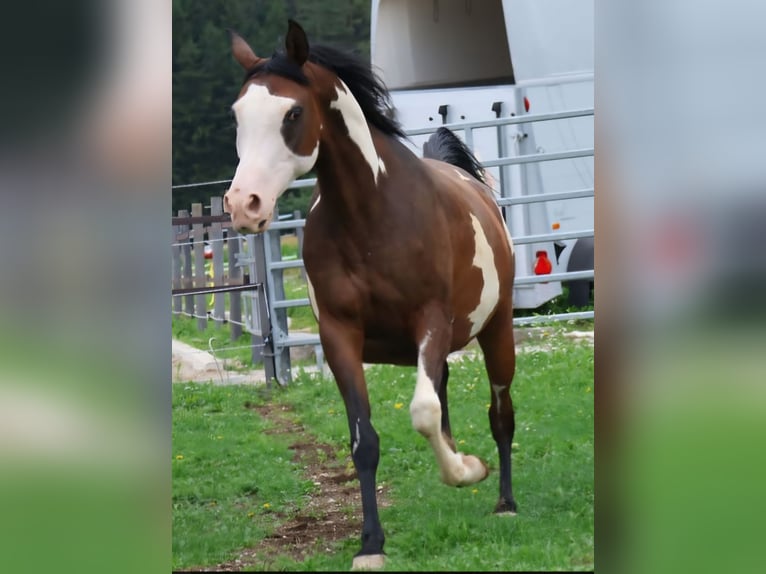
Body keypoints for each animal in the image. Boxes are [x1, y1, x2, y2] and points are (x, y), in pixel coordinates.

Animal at [223, 20, 518, 570]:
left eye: (292, 113)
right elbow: (365, 440)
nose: (244, 204)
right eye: (237, 114)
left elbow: (423, 413)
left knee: (501, 414)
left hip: (498, 330)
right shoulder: (340, 336)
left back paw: (505, 501)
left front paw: (468, 471)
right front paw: (370, 545)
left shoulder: (431, 321)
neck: (373, 219)